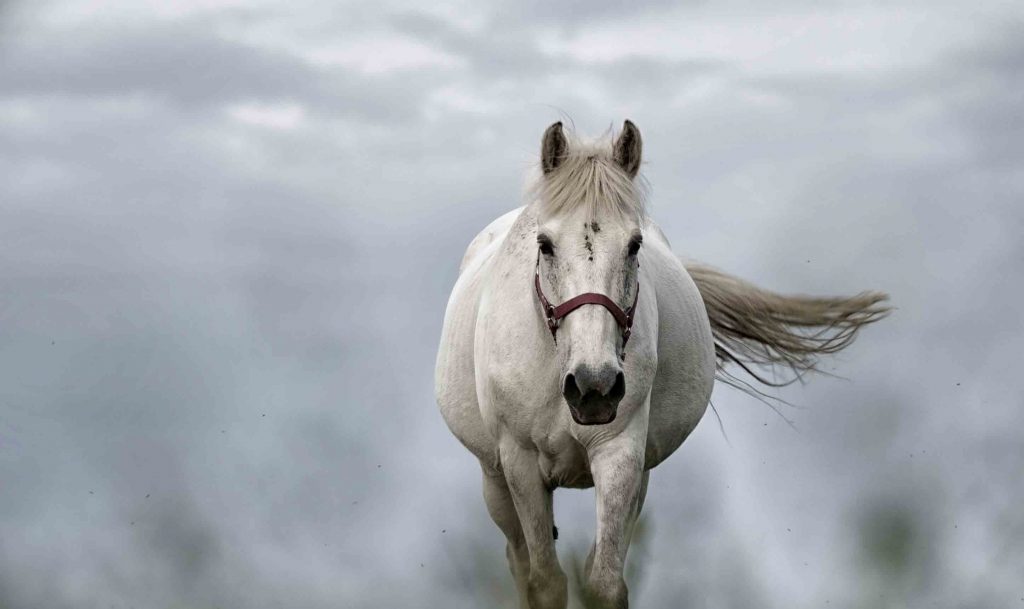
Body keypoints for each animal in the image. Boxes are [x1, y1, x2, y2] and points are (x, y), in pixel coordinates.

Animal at [434, 121, 888, 605]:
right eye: (545, 244)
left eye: (635, 245)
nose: (593, 387)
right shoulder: (520, 465)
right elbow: (545, 583)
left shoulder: (621, 455)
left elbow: (604, 583)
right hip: (494, 478)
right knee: (518, 558)